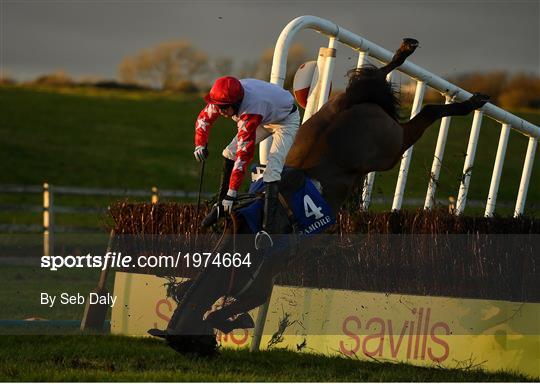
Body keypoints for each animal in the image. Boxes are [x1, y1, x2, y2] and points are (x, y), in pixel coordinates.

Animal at [150, 38, 492, 354]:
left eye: (189, 346)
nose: (207, 351)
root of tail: (353, 106)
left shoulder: (265, 276)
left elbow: (231, 307)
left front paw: (231, 321)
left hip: (391, 148)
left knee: (427, 110)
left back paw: (469, 100)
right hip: (341, 106)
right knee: (373, 79)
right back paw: (404, 53)